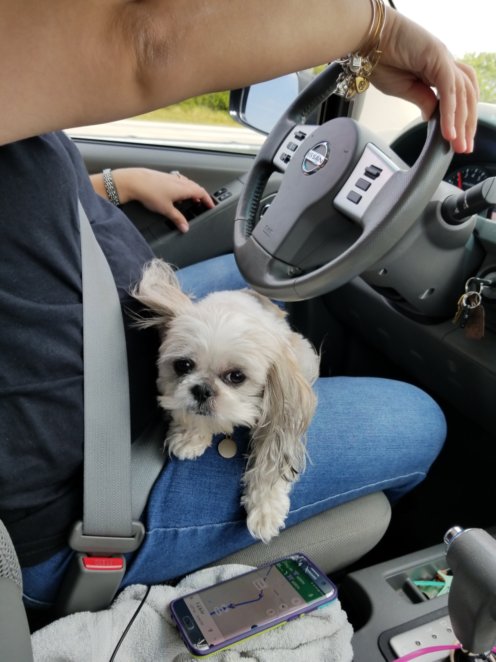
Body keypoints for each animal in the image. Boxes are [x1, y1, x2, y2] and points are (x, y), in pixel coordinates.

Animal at [132, 259, 320, 543]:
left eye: (236, 376)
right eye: (183, 365)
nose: (202, 390)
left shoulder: (281, 409)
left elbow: (270, 458)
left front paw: (265, 508)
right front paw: (190, 436)